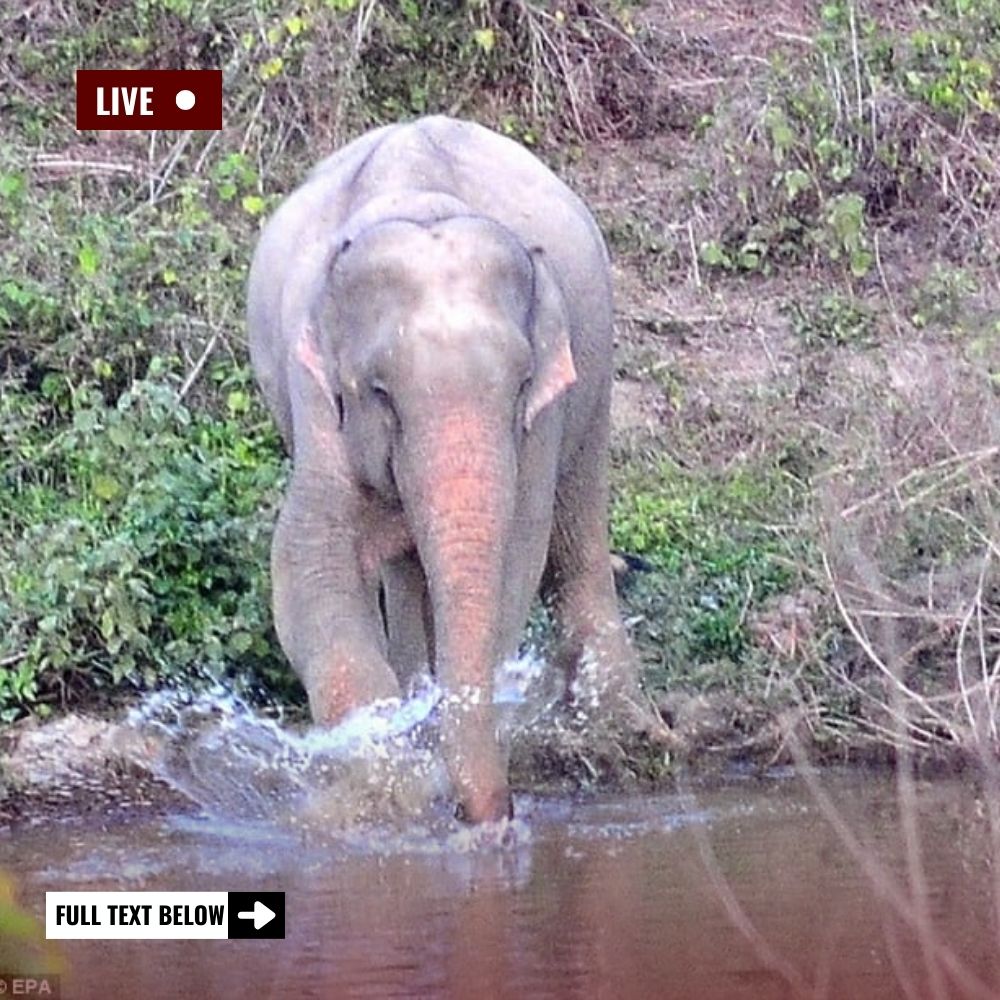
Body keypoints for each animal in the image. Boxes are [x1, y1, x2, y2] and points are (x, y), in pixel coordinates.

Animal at [245, 115, 664, 820]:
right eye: (379, 392)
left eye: (521, 382)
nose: (494, 816)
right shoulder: (314, 393)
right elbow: (310, 560)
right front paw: (388, 775)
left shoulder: (543, 409)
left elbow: (517, 553)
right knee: (402, 568)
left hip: (597, 372)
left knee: (575, 530)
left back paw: (627, 724)